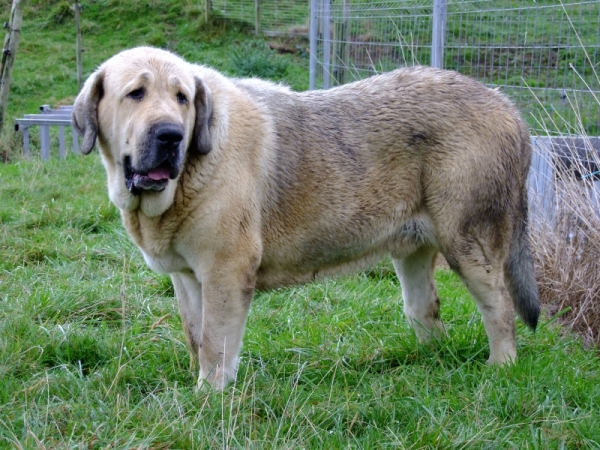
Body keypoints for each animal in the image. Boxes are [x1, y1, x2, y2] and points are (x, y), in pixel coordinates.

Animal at [72, 46, 540, 390]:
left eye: (182, 98)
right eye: (136, 94)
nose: (171, 134)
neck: (188, 174)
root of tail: (506, 105)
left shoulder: (225, 272)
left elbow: (215, 343)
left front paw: (209, 396)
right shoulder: (187, 277)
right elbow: (195, 335)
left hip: (468, 242)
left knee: (499, 306)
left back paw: (501, 367)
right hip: (412, 251)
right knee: (425, 310)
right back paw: (430, 362)